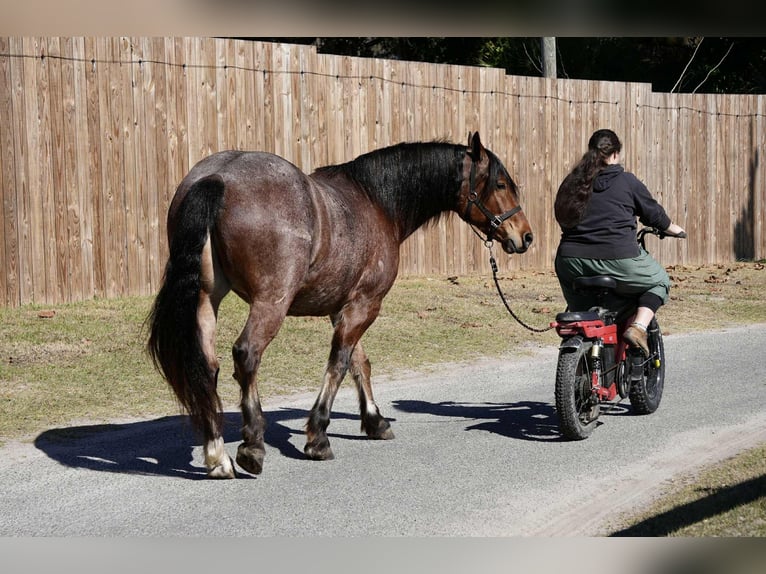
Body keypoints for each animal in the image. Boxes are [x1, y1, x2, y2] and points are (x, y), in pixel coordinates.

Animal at [146, 131, 533, 478]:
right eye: (500, 184)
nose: (525, 236)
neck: (377, 202)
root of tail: (218, 176)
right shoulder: (366, 304)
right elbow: (340, 363)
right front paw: (318, 437)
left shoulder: (344, 306)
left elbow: (360, 363)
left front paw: (375, 421)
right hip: (271, 302)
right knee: (247, 355)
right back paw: (251, 447)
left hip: (206, 299)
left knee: (206, 367)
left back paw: (217, 456)